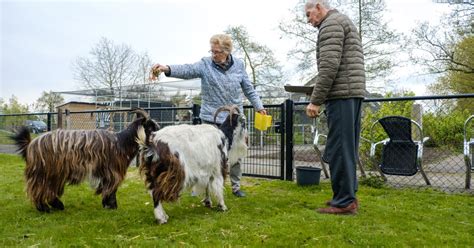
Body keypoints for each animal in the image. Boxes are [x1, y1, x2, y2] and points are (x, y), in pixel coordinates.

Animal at [10, 109, 159, 212]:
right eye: (150, 127)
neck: (122, 142)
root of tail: (30, 145)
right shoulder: (113, 172)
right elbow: (111, 189)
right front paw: (112, 206)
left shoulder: (106, 173)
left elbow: (106, 188)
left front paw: (107, 204)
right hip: (46, 172)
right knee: (40, 190)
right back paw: (45, 208)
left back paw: (56, 206)